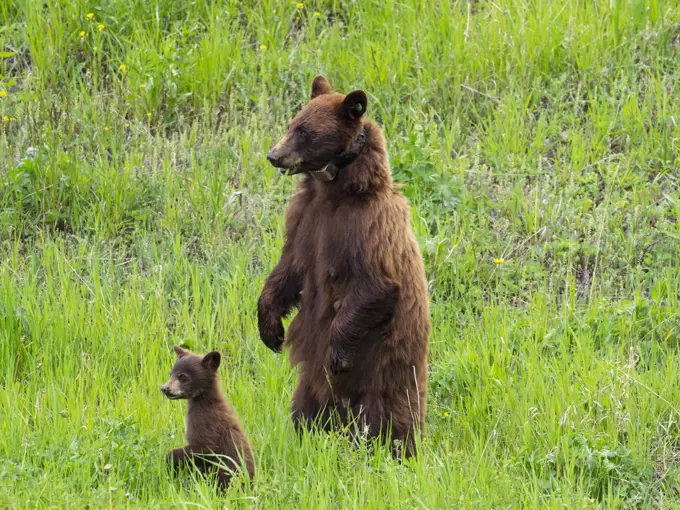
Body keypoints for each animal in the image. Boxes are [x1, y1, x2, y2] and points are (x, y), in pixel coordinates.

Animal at [260, 74, 430, 458]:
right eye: (292, 123)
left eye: (306, 131)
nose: (274, 155)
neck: (335, 190)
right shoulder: (305, 220)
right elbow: (288, 270)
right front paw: (270, 330)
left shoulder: (365, 228)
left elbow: (375, 285)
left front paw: (337, 354)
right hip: (311, 385)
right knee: (305, 406)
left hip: (389, 365)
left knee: (393, 412)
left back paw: (398, 448)